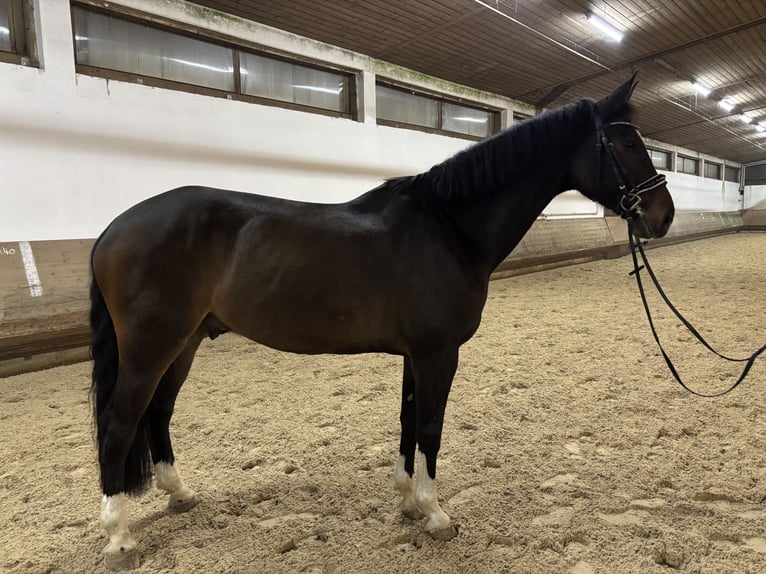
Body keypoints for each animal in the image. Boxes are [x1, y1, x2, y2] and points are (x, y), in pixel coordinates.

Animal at [91, 73, 680, 572]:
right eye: (628, 144)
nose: (664, 215)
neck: (449, 227)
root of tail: (113, 229)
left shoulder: (415, 355)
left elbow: (407, 421)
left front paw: (407, 501)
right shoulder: (439, 353)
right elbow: (431, 428)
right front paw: (436, 514)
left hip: (185, 342)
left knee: (158, 413)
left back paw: (180, 495)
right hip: (152, 345)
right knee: (121, 424)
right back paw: (119, 537)